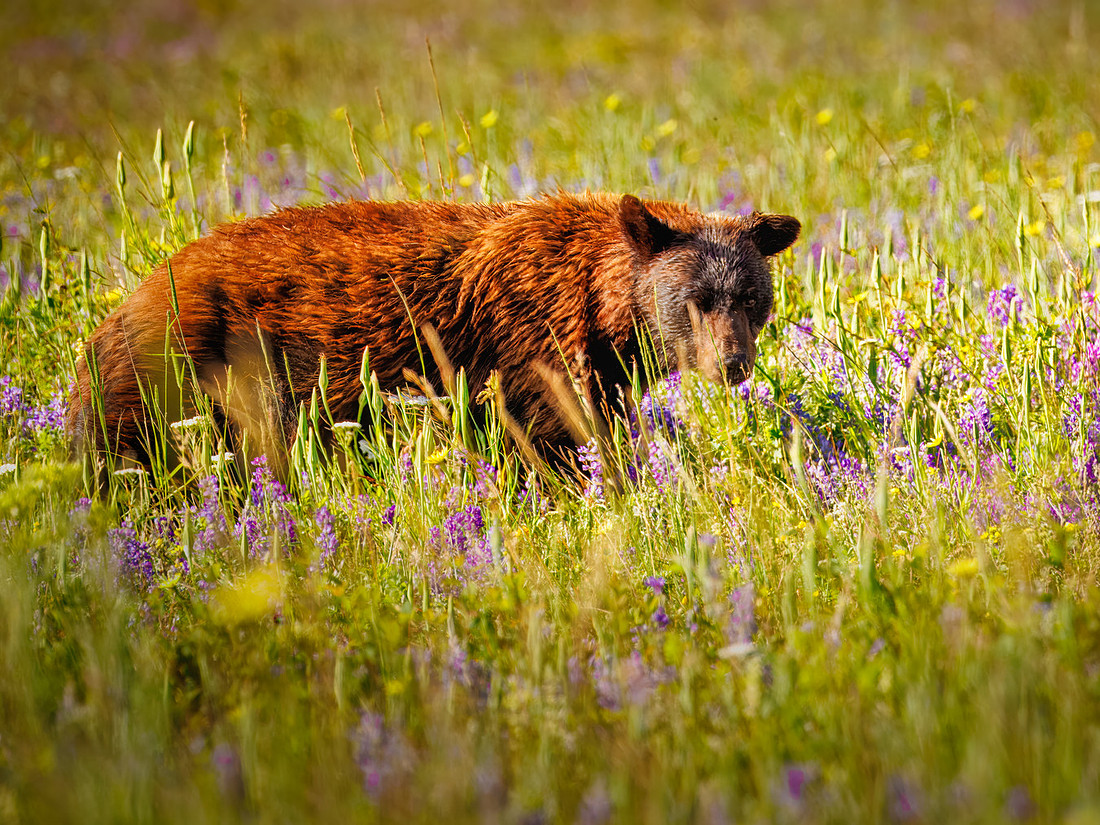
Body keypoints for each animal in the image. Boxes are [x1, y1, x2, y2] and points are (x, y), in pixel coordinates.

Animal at [68, 192, 800, 473]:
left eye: (751, 297)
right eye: (699, 300)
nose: (734, 363)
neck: (598, 297)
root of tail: (128, 298)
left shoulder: (601, 363)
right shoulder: (530, 337)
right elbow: (553, 434)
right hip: (174, 374)